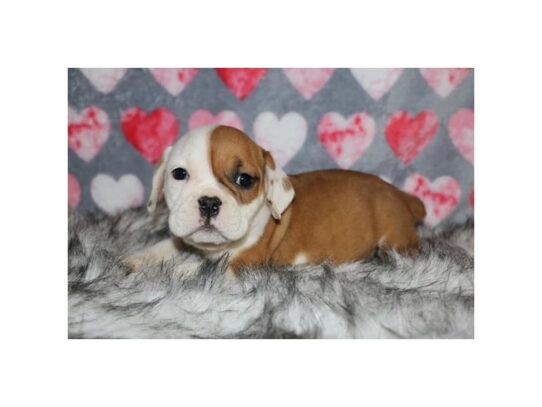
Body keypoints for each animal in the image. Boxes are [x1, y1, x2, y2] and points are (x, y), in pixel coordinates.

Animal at [125, 126, 428, 274]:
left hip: (394, 239)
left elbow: (199, 270)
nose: (209, 202)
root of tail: (401, 195)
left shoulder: (243, 263)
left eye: (244, 180)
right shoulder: (185, 240)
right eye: (179, 174)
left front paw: (171, 272)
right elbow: (166, 246)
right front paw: (138, 259)